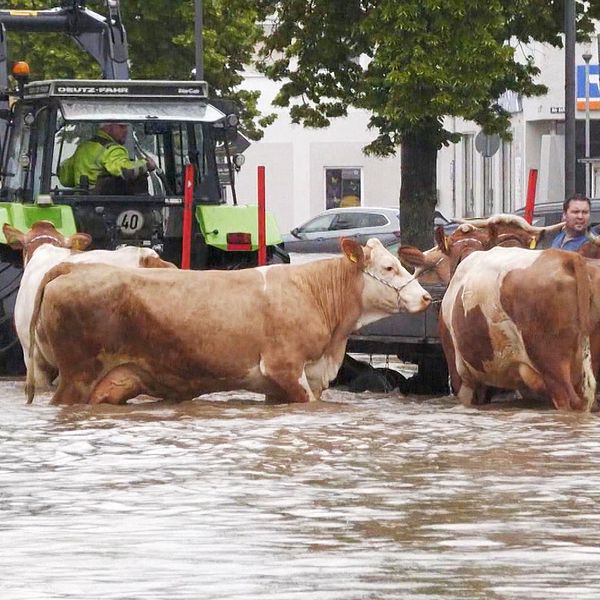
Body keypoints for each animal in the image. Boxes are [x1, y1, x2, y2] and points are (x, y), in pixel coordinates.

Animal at [28, 237, 432, 406]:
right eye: (389, 267)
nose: (426, 297)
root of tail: (72, 267)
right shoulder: (286, 369)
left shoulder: (284, 384)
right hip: (76, 376)